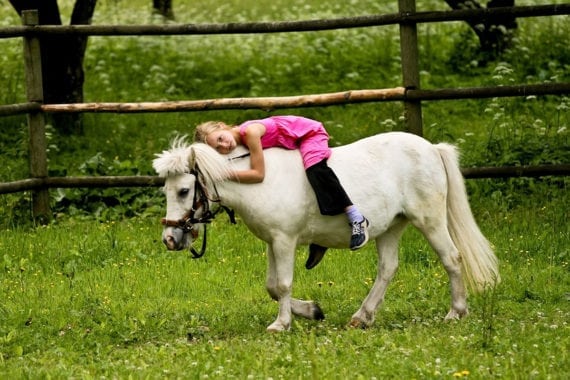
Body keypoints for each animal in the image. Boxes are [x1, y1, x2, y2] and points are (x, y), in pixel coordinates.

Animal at [152, 131, 496, 332]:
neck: (258, 179)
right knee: (387, 269)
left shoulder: (285, 240)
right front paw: (312, 311)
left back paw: (455, 313)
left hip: (430, 220)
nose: (170, 239)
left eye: (184, 191)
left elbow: (283, 284)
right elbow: (272, 286)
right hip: (391, 227)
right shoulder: (273, 242)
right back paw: (362, 317)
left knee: (452, 259)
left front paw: (282, 324)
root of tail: (432, 148)